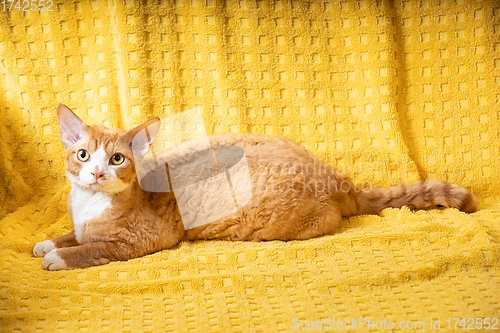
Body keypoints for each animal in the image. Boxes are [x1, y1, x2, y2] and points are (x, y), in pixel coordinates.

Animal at [32, 104, 476, 270]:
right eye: (83, 155)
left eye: (117, 160)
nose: (96, 174)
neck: (90, 203)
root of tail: (334, 174)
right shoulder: (80, 221)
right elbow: (72, 234)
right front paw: (50, 243)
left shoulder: (143, 239)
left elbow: (94, 247)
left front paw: (60, 257)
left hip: (281, 221)